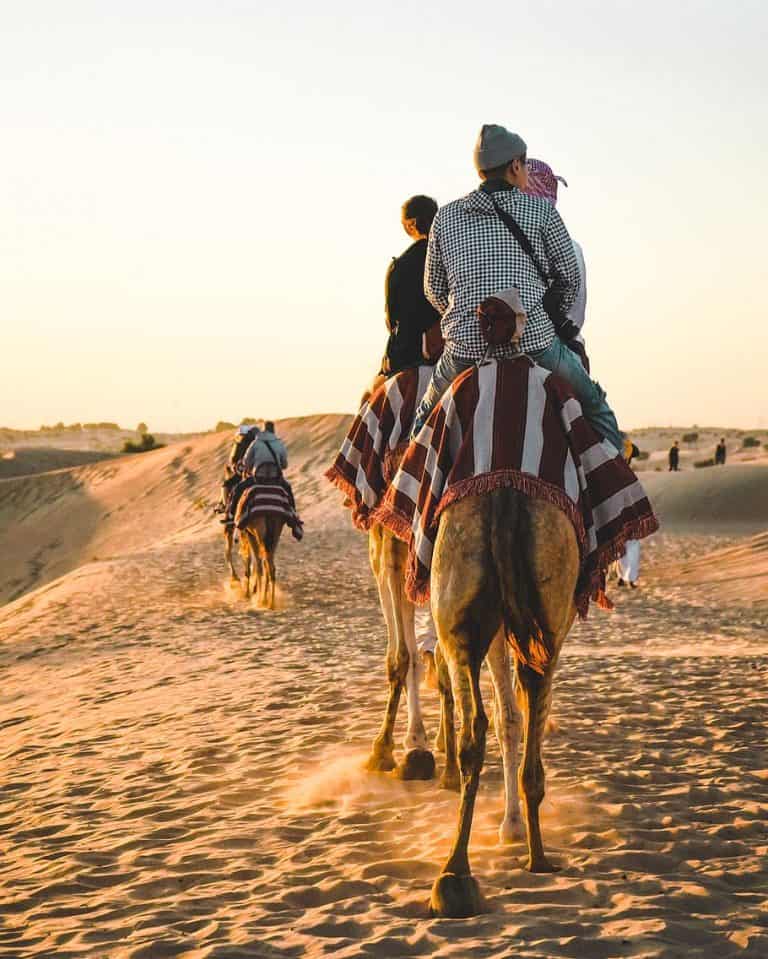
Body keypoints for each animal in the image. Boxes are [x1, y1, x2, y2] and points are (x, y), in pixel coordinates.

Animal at [428, 492, 580, 920]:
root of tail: (505, 495)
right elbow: (516, 715)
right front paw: (512, 825)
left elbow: (509, 714)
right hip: (546, 609)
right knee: (522, 704)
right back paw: (532, 853)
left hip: (457, 611)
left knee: (474, 729)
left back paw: (456, 873)